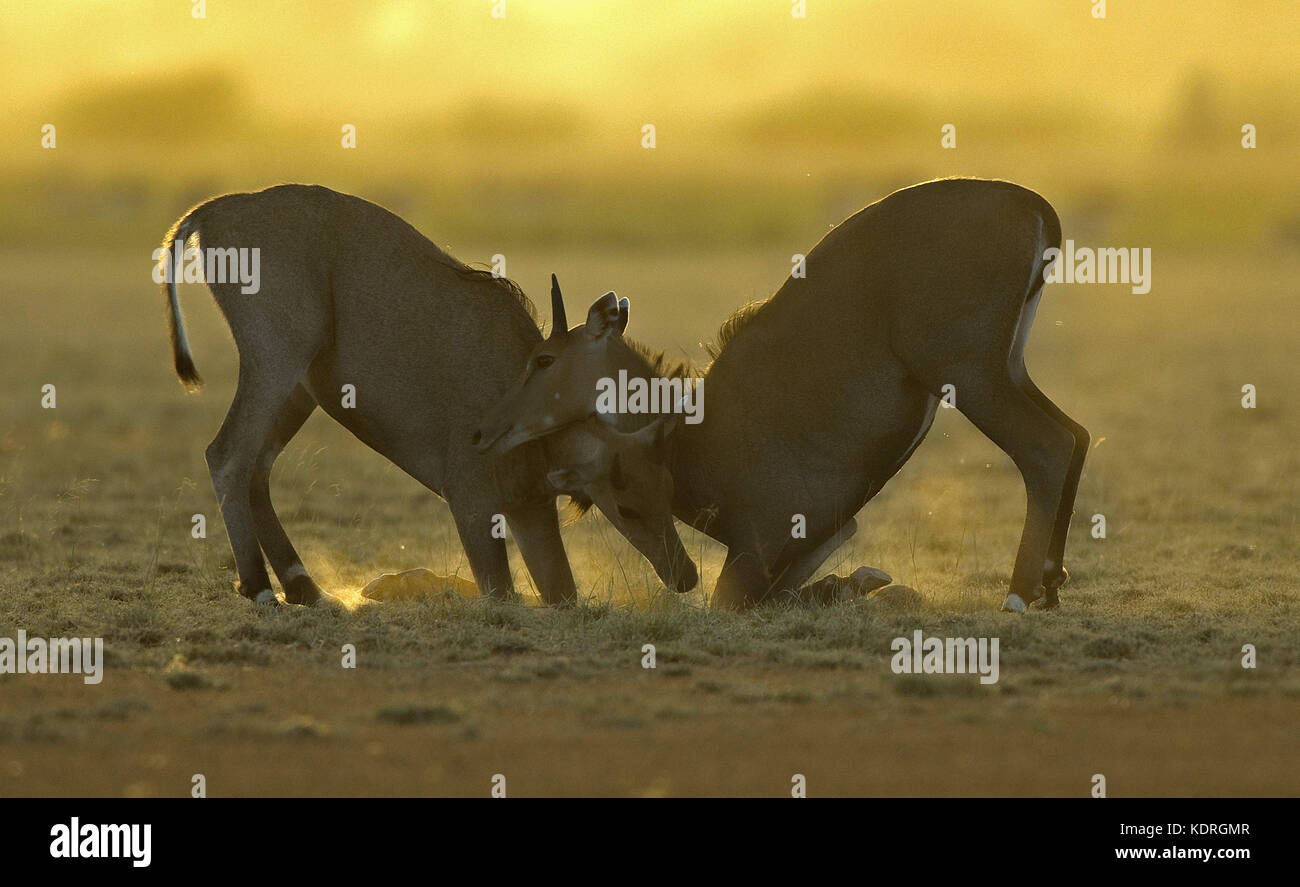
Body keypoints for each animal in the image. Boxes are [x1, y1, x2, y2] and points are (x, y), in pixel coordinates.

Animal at [157, 183, 696, 603]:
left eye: (668, 490)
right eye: (625, 504)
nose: (685, 576)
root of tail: (216, 209)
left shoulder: (528, 510)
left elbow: (561, 593)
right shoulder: (471, 503)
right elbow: (504, 594)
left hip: (299, 386)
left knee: (258, 466)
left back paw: (305, 588)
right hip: (278, 359)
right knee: (227, 453)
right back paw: (260, 588)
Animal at [475, 178, 1086, 608]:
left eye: (543, 359)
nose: (485, 429)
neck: (693, 434)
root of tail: (1035, 207)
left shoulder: (758, 548)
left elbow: (731, 603)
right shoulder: (816, 543)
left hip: (969, 372)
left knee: (1047, 446)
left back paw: (1020, 594)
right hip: (1007, 366)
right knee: (1076, 435)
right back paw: (1049, 582)